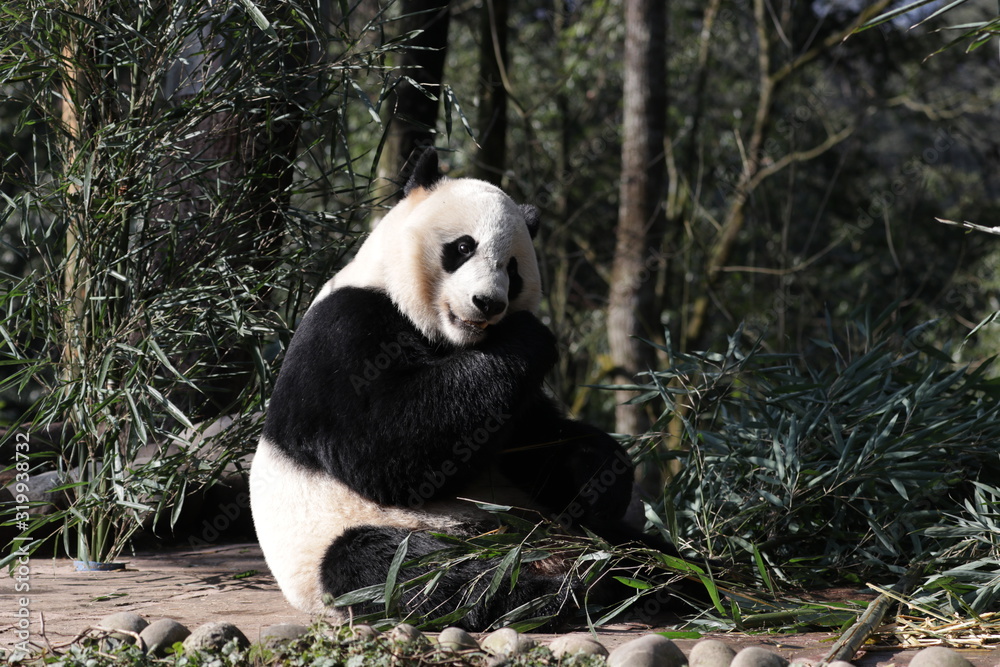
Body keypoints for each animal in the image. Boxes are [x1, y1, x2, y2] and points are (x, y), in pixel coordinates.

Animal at [249, 148, 665, 631]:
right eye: (464, 247)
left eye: (513, 269)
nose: (489, 303)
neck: (449, 338)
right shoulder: (344, 332)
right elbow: (384, 448)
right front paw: (530, 335)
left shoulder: (513, 406)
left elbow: (535, 441)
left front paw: (600, 477)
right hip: (353, 537)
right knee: (404, 567)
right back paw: (550, 593)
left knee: (638, 549)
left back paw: (660, 581)